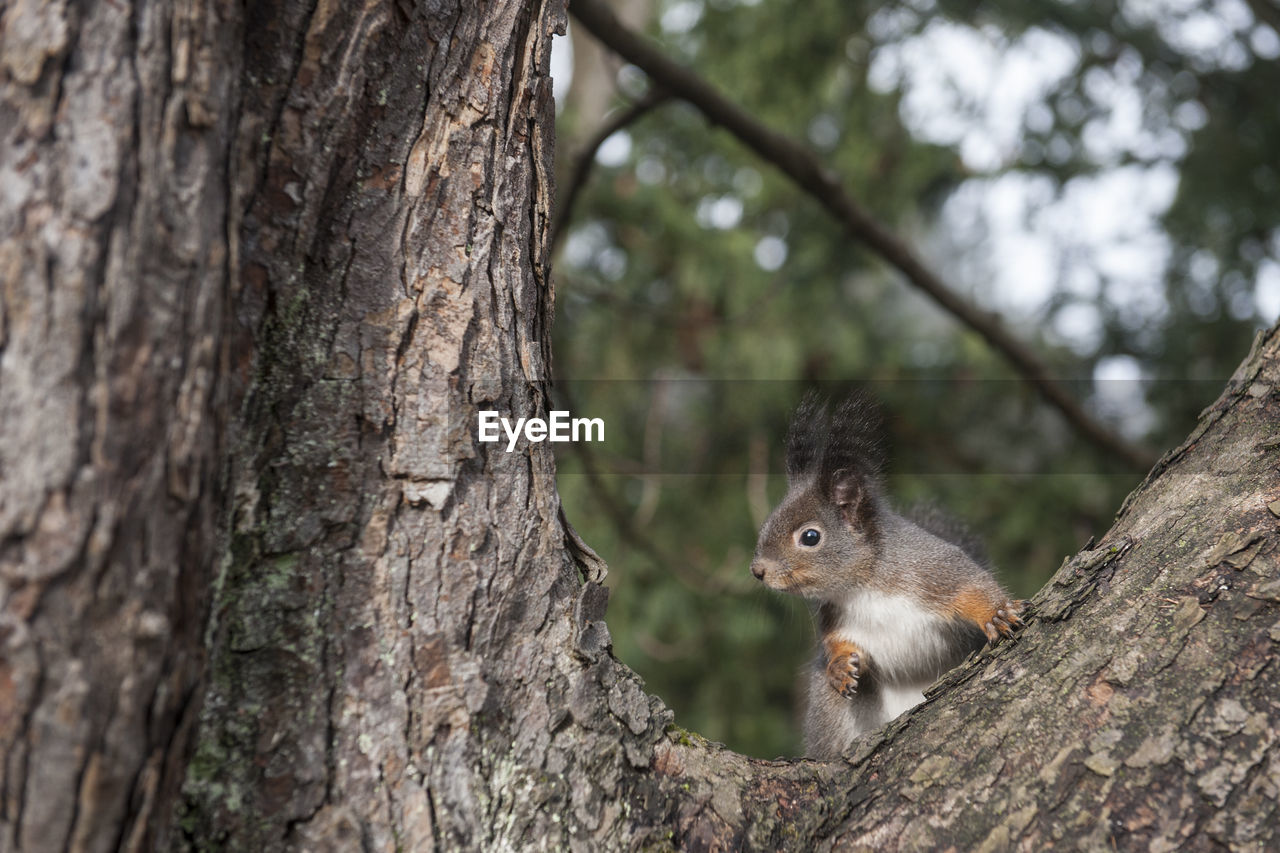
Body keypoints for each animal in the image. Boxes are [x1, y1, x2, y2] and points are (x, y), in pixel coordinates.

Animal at [747, 391, 1018, 758]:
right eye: (768, 521)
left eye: (810, 537)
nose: (758, 570)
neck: (863, 586)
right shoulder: (836, 616)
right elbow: (835, 642)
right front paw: (840, 666)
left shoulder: (934, 571)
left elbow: (972, 586)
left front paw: (996, 614)